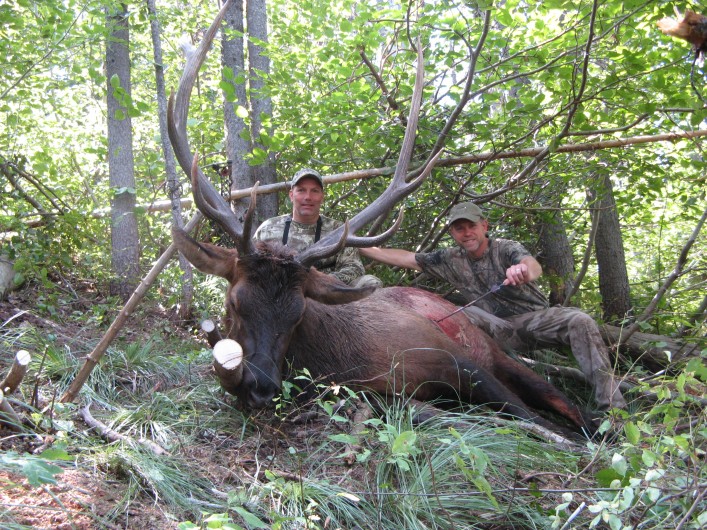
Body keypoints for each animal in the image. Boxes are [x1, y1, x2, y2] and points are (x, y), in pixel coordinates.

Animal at [168, 1, 598, 438]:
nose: (258, 386)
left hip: (496, 351)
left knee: (569, 405)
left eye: (299, 312)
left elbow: (533, 419)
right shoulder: (376, 392)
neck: (348, 361)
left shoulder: (459, 360)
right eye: (234, 302)